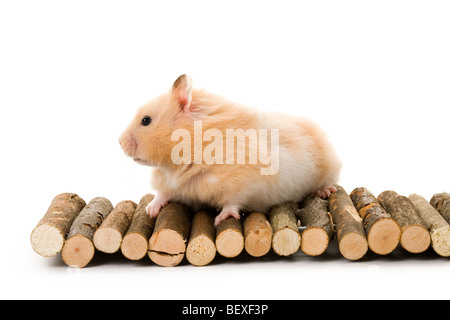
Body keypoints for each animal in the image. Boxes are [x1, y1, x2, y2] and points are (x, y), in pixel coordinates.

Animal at [119, 74, 342, 225]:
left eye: (146, 121)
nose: (119, 143)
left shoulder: (246, 181)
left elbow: (233, 201)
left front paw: (221, 219)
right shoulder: (173, 183)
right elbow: (163, 193)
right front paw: (150, 210)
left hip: (327, 166)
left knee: (329, 180)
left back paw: (325, 191)